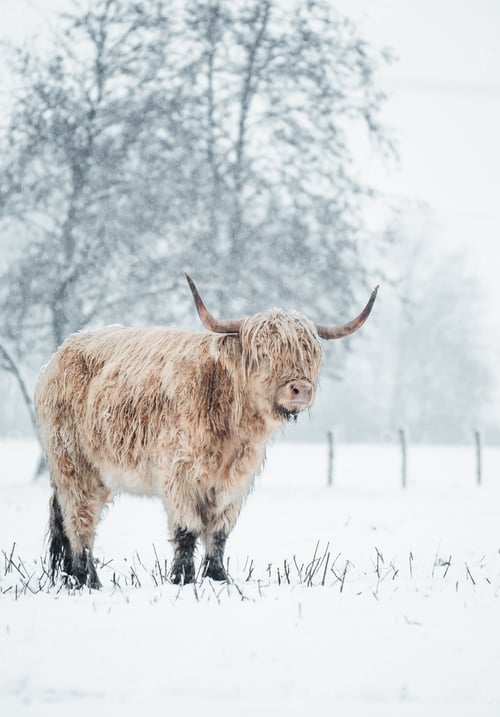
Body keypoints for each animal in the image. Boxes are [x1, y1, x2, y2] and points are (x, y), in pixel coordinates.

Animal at [35, 273, 378, 588]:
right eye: (263, 354)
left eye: (309, 354)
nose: (300, 389)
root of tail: (61, 352)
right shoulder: (178, 474)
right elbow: (187, 531)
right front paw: (182, 580)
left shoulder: (234, 483)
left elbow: (219, 533)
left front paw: (218, 578)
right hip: (73, 464)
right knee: (79, 520)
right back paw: (87, 579)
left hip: (98, 472)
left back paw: (75, 577)